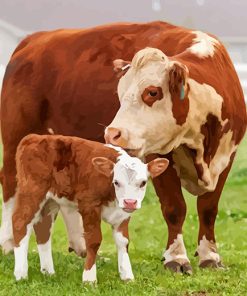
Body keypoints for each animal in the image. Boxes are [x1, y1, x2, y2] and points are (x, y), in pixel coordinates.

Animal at [12, 134, 169, 282]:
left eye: (143, 182)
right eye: (116, 182)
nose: (130, 202)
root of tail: (34, 137)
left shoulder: (123, 214)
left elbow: (123, 242)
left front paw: (127, 276)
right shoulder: (89, 206)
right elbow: (94, 241)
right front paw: (89, 278)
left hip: (50, 201)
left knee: (43, 229)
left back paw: (48, 272)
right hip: (32, 192)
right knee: (20, 223)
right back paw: (21, 274)